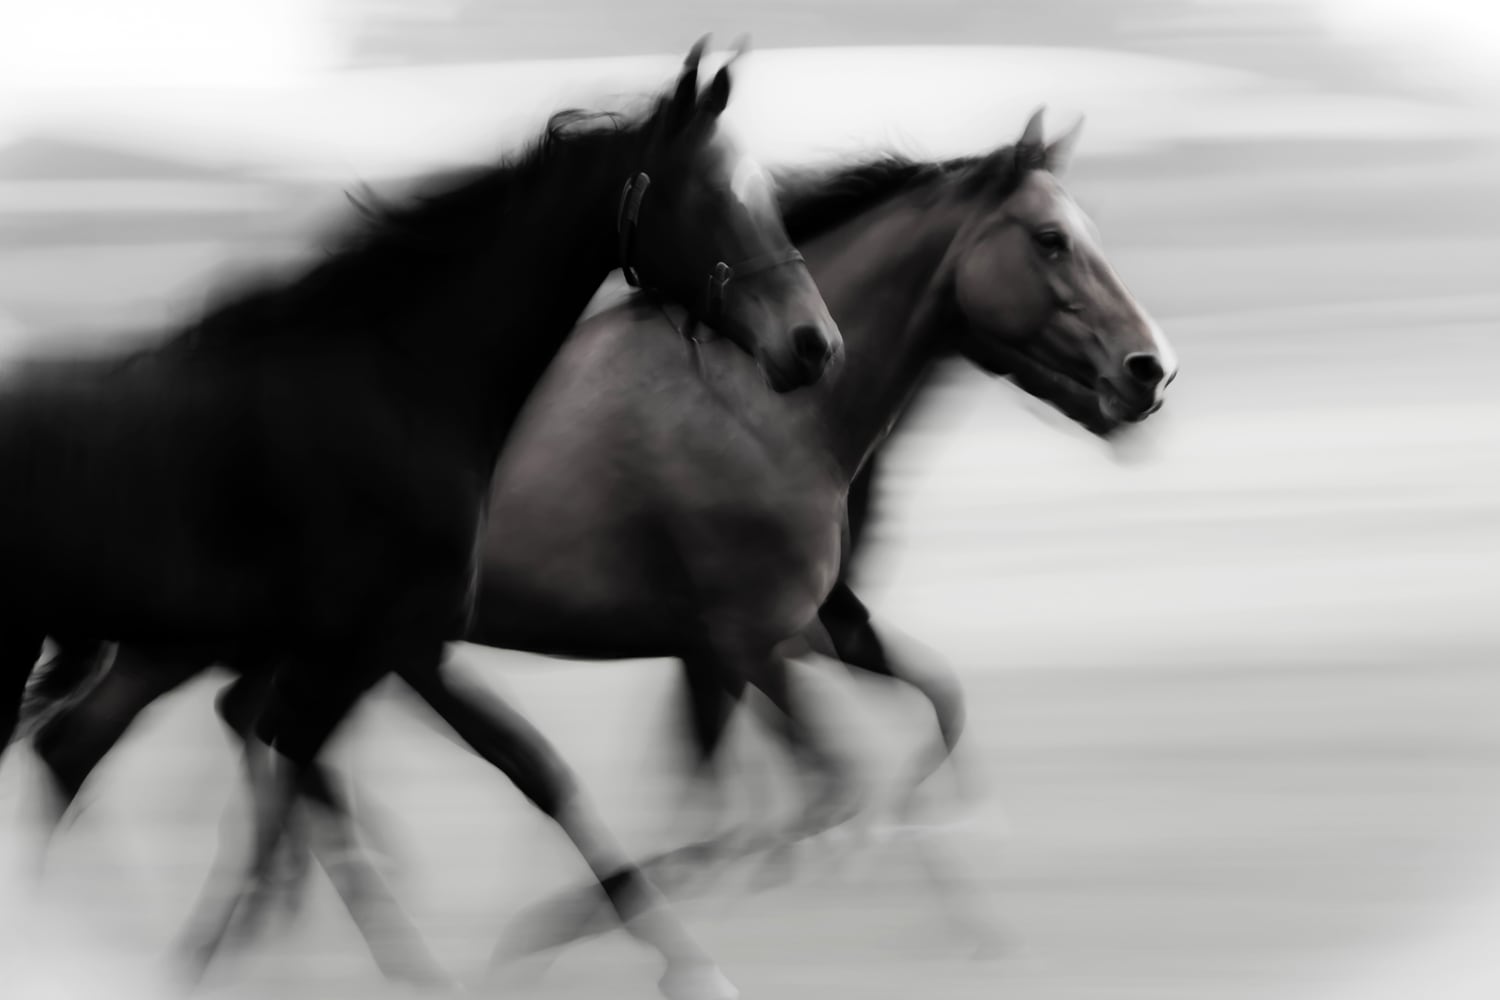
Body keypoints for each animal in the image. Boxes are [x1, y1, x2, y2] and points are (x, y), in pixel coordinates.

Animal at [0, 37, 838, 1000]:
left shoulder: (391, 650)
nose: (814, 345)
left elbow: (512, 771)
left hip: (164, 647)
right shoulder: (378, 648)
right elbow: (395, 782)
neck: (400, 389)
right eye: (704, 194)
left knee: (69, 749)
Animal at [24, 107, 1175, 970]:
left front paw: (965, 903)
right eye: (1052, 240)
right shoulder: (747, 642)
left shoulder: (777, 636)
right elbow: (795, 797)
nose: (1149, 371)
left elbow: (919, 715)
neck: (765, 410)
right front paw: (567, 935)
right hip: (261, 639)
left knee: (213, 743)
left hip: (252, 644)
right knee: (192, 745)